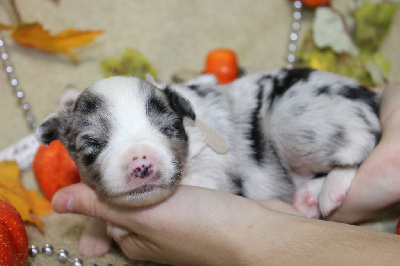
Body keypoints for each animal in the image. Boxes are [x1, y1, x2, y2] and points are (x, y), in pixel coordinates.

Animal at [36, 67, 380, 256]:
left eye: (169, 129)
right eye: (93, 145)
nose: (142, 163)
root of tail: (370, 98)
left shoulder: (214, 172)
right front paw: (92, 240)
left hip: (296, 120)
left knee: (361, 146)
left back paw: (330, 190)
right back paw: (308, 197)